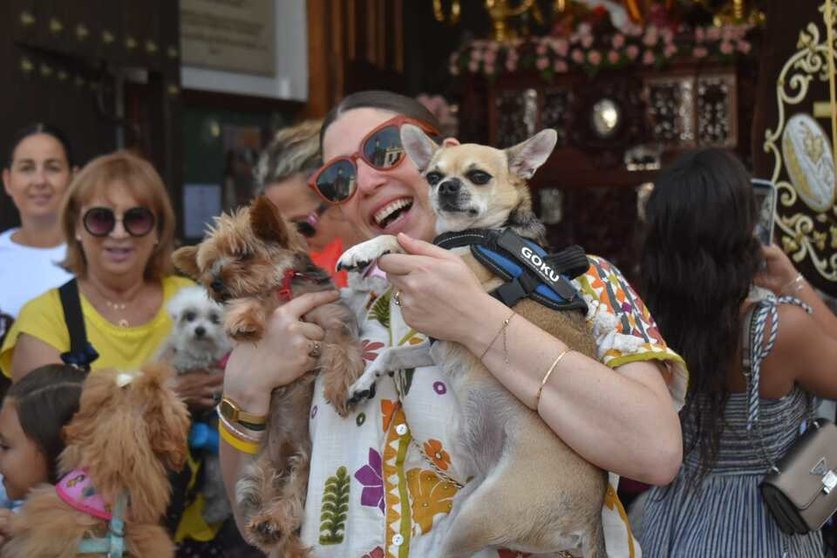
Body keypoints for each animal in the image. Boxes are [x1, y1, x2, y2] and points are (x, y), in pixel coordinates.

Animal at [171, 199, 364, 556]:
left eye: (243, 254)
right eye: (210, 263)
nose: (214, 282)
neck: (286, 284)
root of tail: (284, 460)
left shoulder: (334, 319)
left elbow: (344, 348)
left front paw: (341, 386)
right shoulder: (269, 302)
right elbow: (255, 299)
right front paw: (245, 319)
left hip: (305, 467)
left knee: (291, 502)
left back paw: (273, 524)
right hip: (256, 476)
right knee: (268, 509)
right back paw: (267, 529)